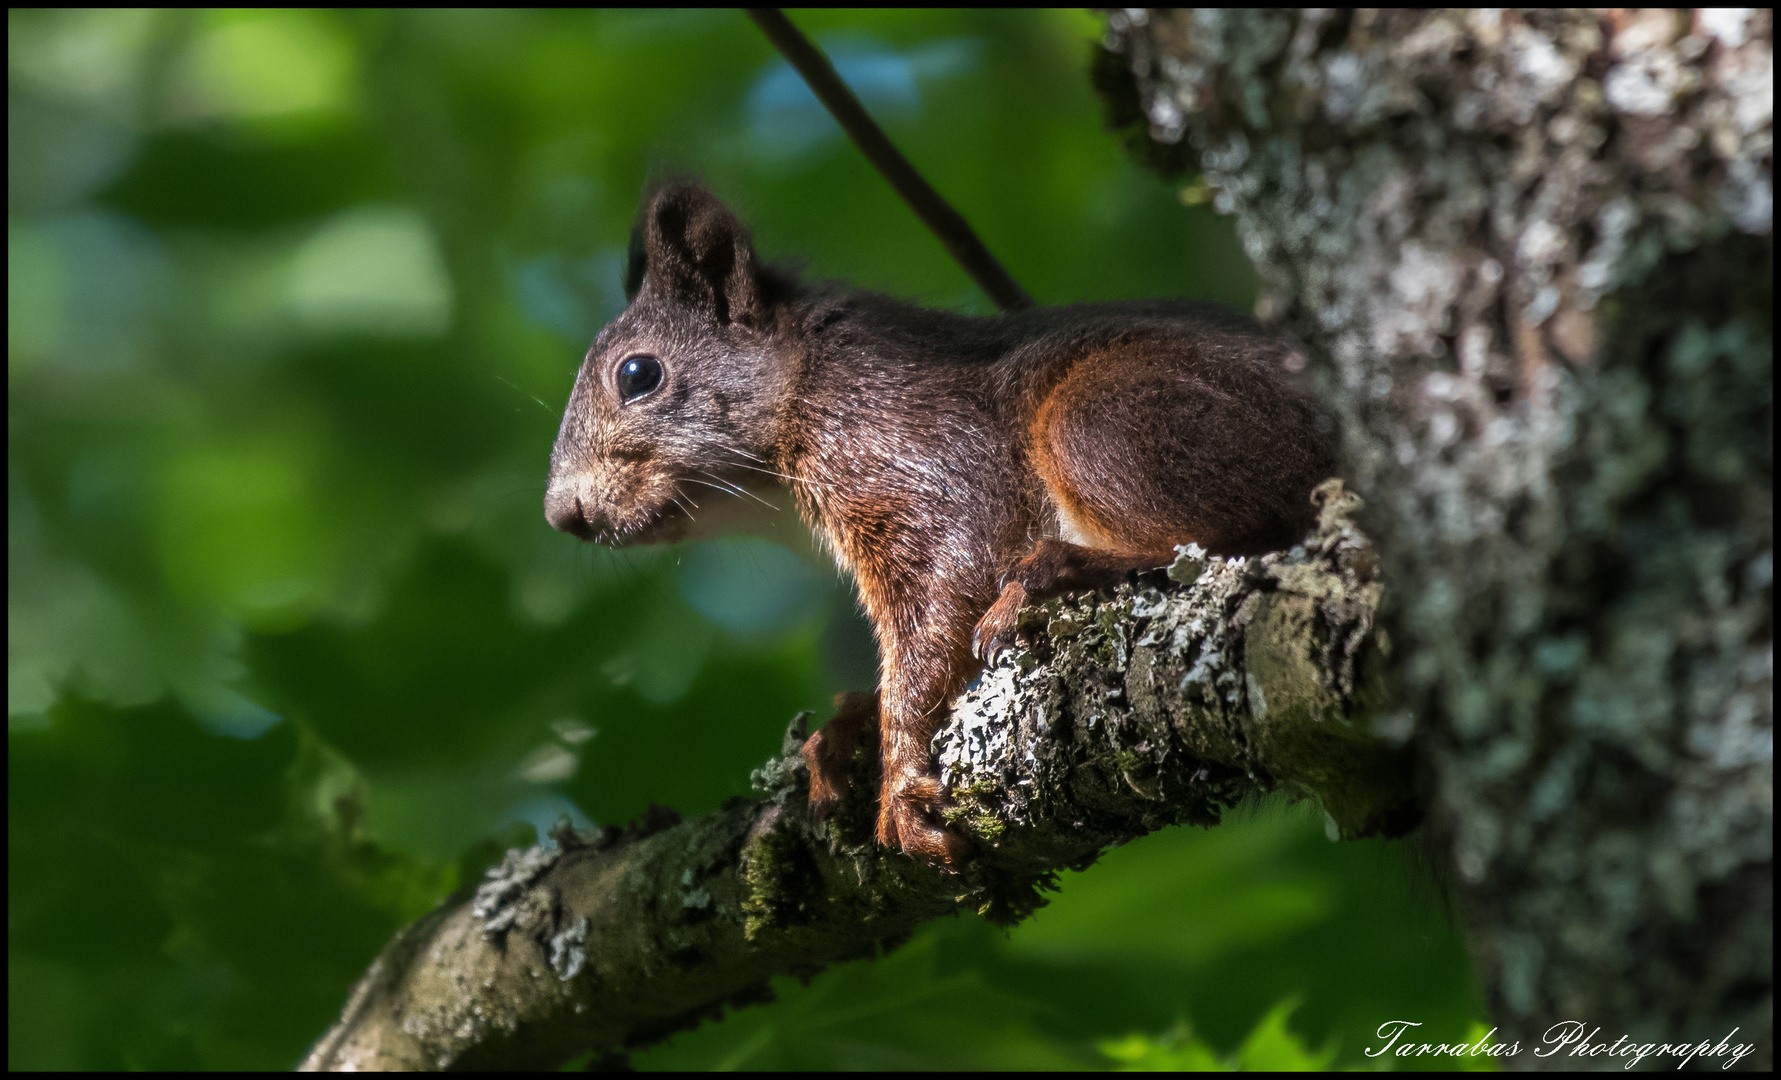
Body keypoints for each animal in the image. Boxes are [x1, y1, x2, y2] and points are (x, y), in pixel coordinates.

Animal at [541, 184, 1339, 862]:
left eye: (638, 375)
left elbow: (946, 585)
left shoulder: (909, 447)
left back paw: (1056, 573)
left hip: (1105, 417)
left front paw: (899, 774)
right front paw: (852, 722)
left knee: (1237, 531)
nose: (561, 514)